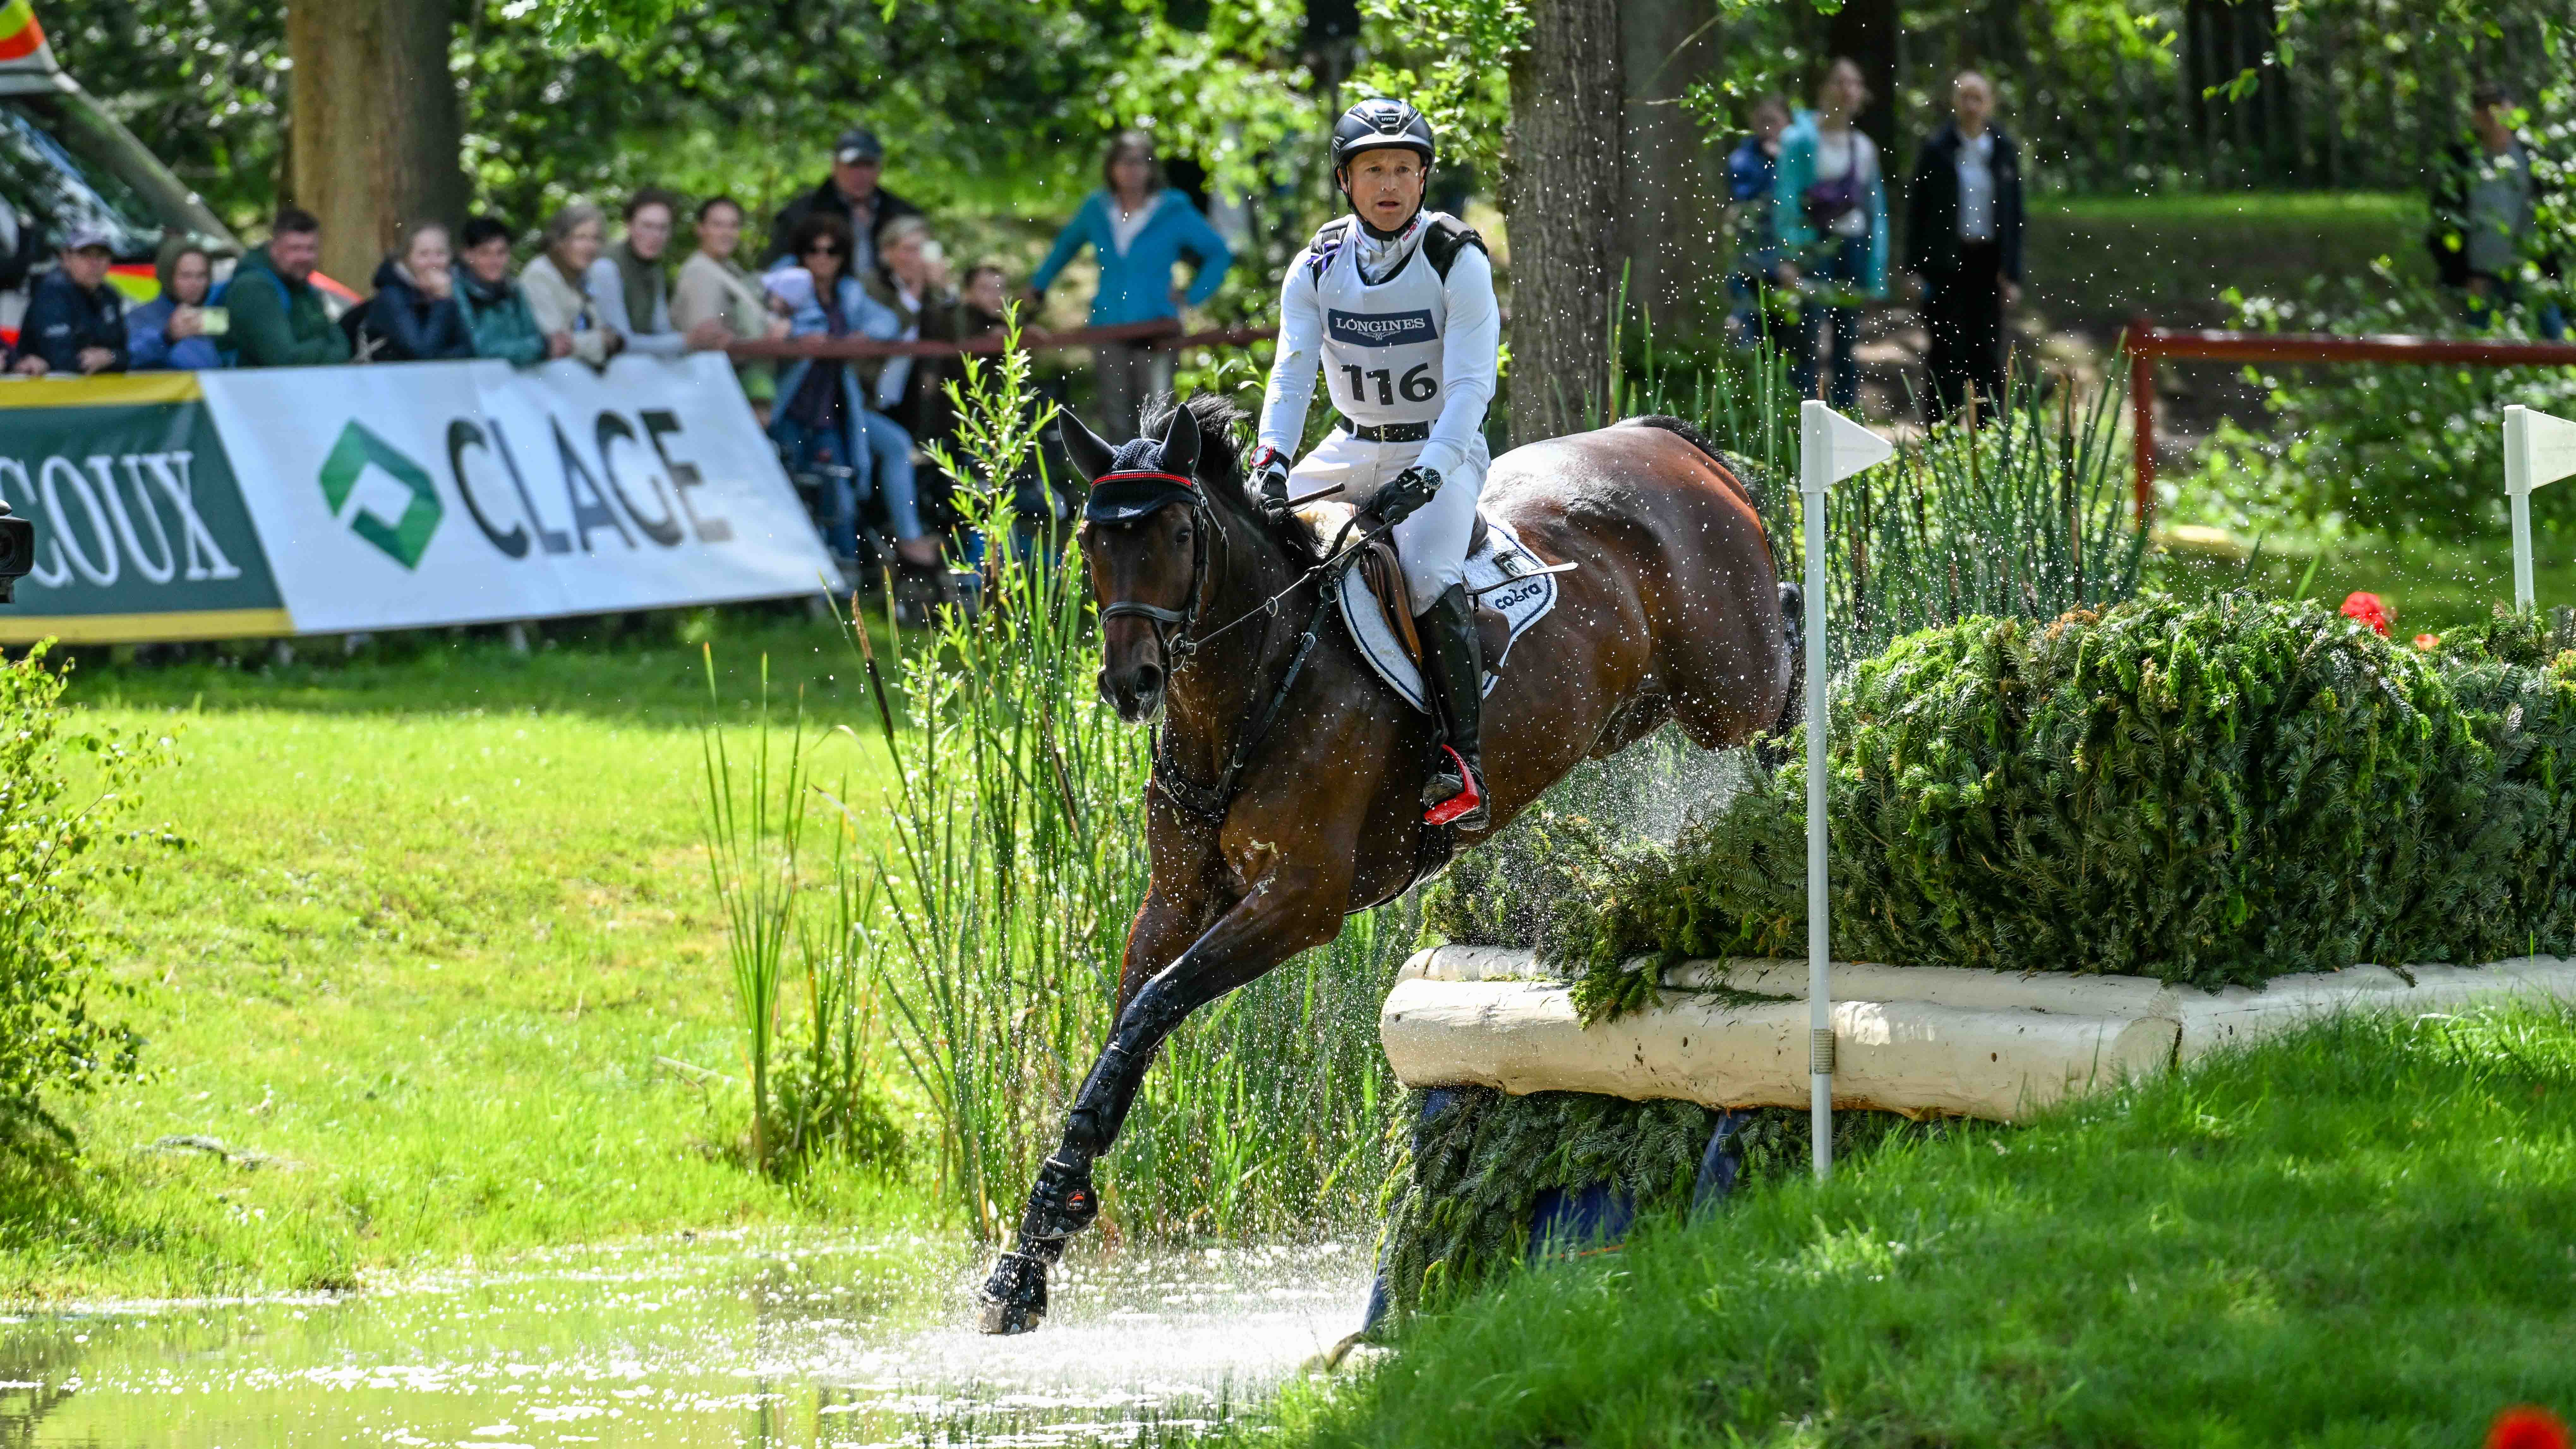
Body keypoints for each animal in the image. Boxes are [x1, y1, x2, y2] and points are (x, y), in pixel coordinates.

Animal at [977, 392, 1797, 1333]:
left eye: (1179, 536)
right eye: (1090, 539)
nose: (1130, 684)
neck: (1248, 689)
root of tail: (1663, 440)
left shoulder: (1300, 900)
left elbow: (1154, 1006)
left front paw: (1046, 1228)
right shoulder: (1175, 900)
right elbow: (1126, 1032)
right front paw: (1031, 1251)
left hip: (1725, 689)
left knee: (1786, 638)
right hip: (1639, 708)